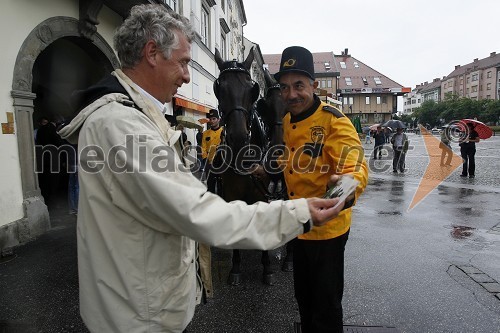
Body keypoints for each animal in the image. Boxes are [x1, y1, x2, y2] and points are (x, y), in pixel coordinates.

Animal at [212, 48, 290, 284]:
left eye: (251, 90)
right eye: (219, 89)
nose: (238, 138)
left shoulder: (262, 196)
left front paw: (267, 269)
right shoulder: (231, 196)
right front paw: (236, 268)